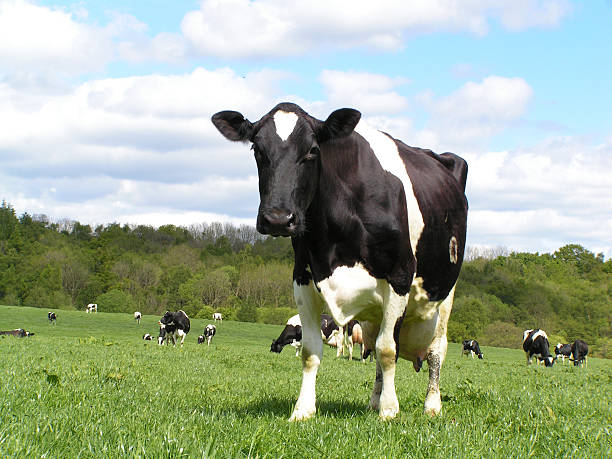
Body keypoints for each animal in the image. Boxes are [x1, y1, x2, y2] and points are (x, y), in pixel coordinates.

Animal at [212, 101, 468, 420]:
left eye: (312, 150)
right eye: (257, 148)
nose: (278, 218)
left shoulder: (400, 276)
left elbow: (388, 350)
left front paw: (390, 410)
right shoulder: (303, 278)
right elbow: (311, 351)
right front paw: (303, 409)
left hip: (444, 296)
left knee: (434, 351)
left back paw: (431, 405)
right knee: (375, 348)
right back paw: (374, 400)